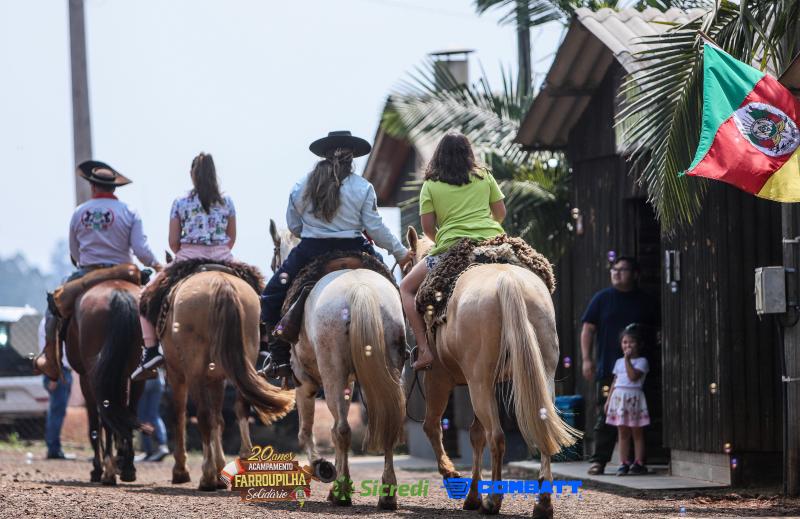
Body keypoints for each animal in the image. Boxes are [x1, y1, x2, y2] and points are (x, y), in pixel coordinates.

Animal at [64, 279, 146, 485]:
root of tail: (118, 292)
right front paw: (123, 460)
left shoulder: (85, 379)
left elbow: (95, 423)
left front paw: (98, 468)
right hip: (133, 373)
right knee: (127, 411)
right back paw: (127, 468)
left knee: (105, 415)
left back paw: (107, 469)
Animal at [161, 269, 295, 490]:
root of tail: (220, 281)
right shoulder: (216, 378)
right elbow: (219, 419)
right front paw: (220, 470)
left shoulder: (176, 374)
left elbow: (180, 416)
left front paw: (181, 470)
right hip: (244, 358)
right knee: (241, 407)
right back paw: (244, 459)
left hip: (194, 371)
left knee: (203, 416)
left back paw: (206, 477)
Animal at [270, 222, 406, 510]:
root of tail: (360, 289)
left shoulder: (304, 381)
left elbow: (305, 432)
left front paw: (322, 467)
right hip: (390, 369)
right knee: (388, 422)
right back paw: (387, 494)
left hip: (331, 373)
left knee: (342, 429)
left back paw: (342, 492)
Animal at [406, 227, 579, 518]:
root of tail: (508, 280)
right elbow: (475, 435)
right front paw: (472, 496)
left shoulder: (438, 377)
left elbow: (433, 426)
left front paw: (453, 476)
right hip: (536, 375)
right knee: (539, 426)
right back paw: (542, 503)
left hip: (477, 383)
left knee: (496, 436)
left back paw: (493, 502)